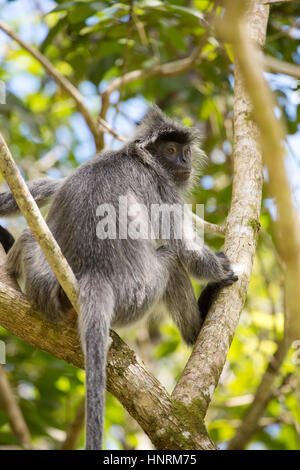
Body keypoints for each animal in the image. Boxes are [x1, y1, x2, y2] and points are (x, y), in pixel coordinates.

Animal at [0, 106, 239, 448]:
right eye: (171, 151)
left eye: (186, 151)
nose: (185, 162)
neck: (136, 157)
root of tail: (93, 274)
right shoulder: (161, 185)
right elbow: (184, 247)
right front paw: (222, 269)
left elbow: (48, 188)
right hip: (138, 296)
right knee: (172, 260)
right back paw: (198, 326)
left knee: (31, 237)